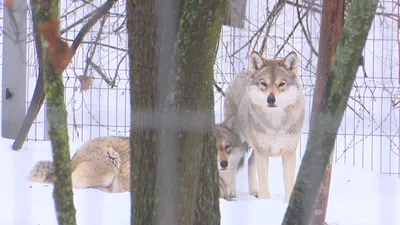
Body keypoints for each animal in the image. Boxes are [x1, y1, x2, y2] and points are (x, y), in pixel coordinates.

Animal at [223, 51, 304, 202]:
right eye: (263, 83)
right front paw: (265, 201)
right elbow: (264, 184)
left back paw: (254, 191)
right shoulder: (263, 152)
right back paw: (231, 192)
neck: (276, 124)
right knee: (232, 166)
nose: (271, 99)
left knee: (249, 162)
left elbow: (289, 184)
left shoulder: (288, 153)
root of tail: (242, 73)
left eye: (281, 84)